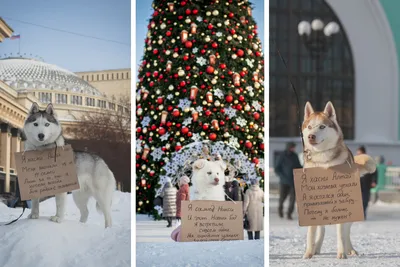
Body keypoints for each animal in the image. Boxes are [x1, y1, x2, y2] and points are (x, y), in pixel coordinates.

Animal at [302, 102, 376, 260]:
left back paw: (350, 250)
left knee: (346, 232)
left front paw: (341, 253)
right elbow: (311, 232)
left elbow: (340, 234)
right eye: (309, 127)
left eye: (322, 126)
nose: (311, 136)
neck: (323, 161)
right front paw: (308, 253)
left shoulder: (341, 207)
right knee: (322, 230)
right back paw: (316, 248)